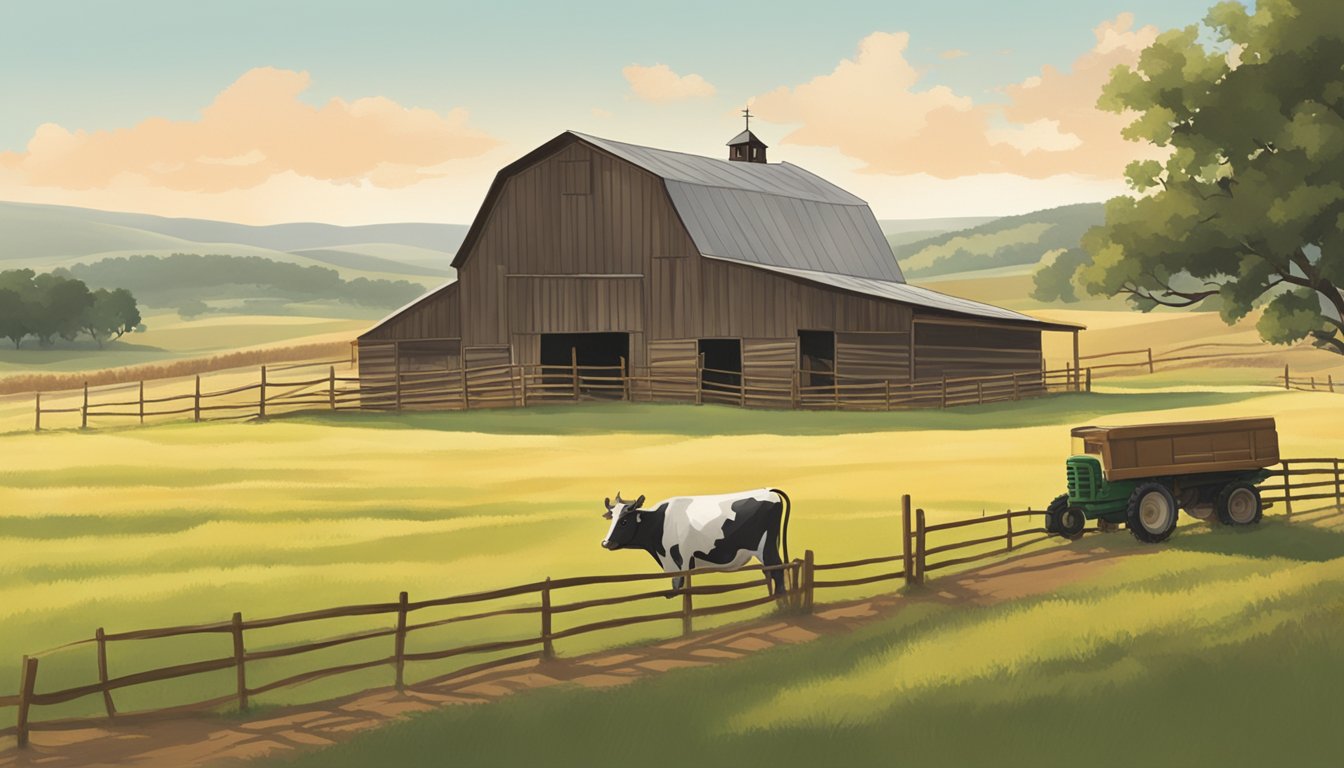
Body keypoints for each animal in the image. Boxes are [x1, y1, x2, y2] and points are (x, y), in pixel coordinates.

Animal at [599, 486, 784, 594]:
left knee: (778, 570)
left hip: (766, 548)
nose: (606, 543)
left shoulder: (679, 562)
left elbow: (677, 586)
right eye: (611, 518)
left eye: (624, 521)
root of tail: (769, 490)